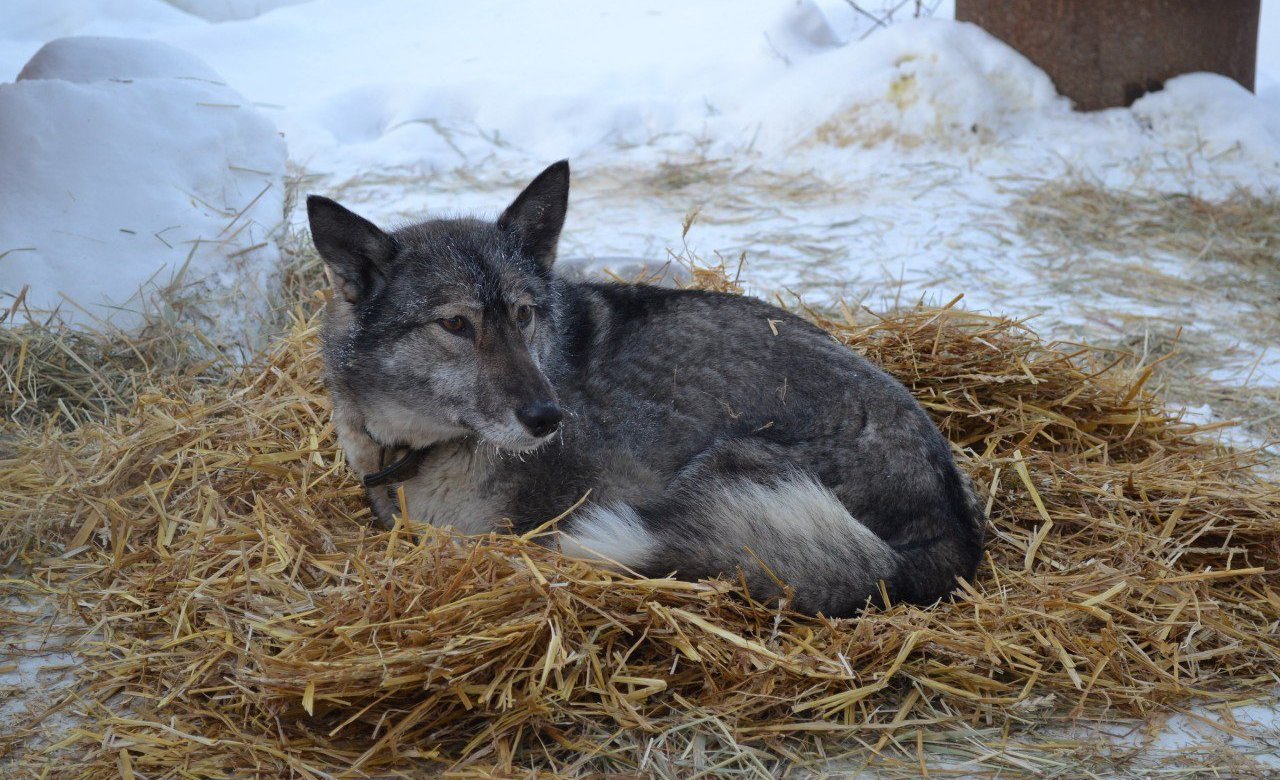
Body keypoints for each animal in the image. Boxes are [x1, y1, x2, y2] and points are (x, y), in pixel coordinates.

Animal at [304, 161, 983, 617]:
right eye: (454, 325)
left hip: (719, 470)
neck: (425, 450)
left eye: (524, 314)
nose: (549, 416)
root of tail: (946, 543)